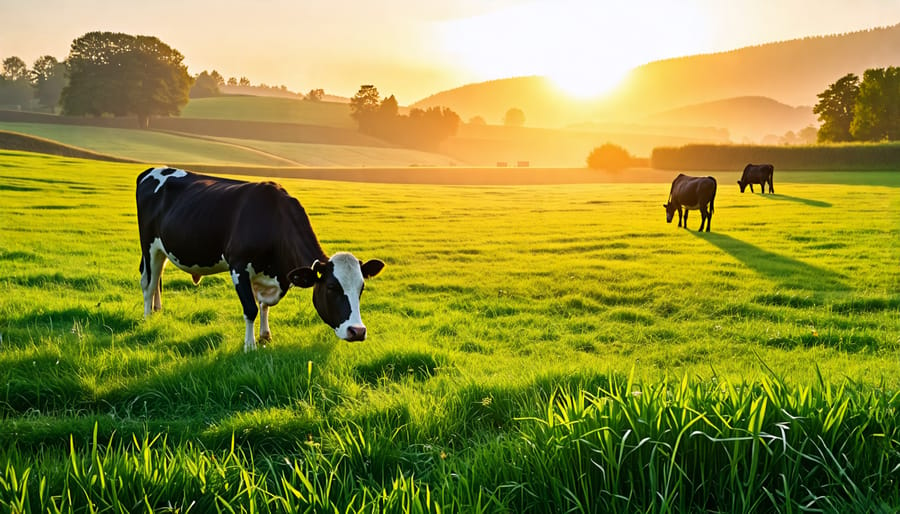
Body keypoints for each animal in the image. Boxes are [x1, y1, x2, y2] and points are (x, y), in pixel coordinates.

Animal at [136, 166, 384, 350]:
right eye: (332, 287)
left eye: (361, 288)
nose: (358, 331)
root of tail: (152, 170)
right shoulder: (238, 266)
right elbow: (251, 308)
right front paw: (250, 345)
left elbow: (264, 305)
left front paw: (265, 335)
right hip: (148, 244)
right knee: (148, 283)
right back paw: (148, 318)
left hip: (162, 249)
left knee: (157, 279)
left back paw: (158, 310)